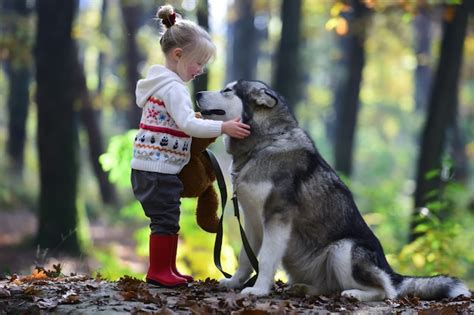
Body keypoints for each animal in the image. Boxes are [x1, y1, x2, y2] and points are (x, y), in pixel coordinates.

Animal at [195, 80, 470, 302]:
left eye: (227, 90)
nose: (197, 92)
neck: (263, 145)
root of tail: (390, 269)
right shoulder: (252, 220)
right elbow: (245, 257)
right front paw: (234, 282)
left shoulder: (277, 218)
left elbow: (265, 258)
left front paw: (259, 290)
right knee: (331, 288)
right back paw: (305, 289)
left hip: (343, 249)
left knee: (386, 291)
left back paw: (356, 294)